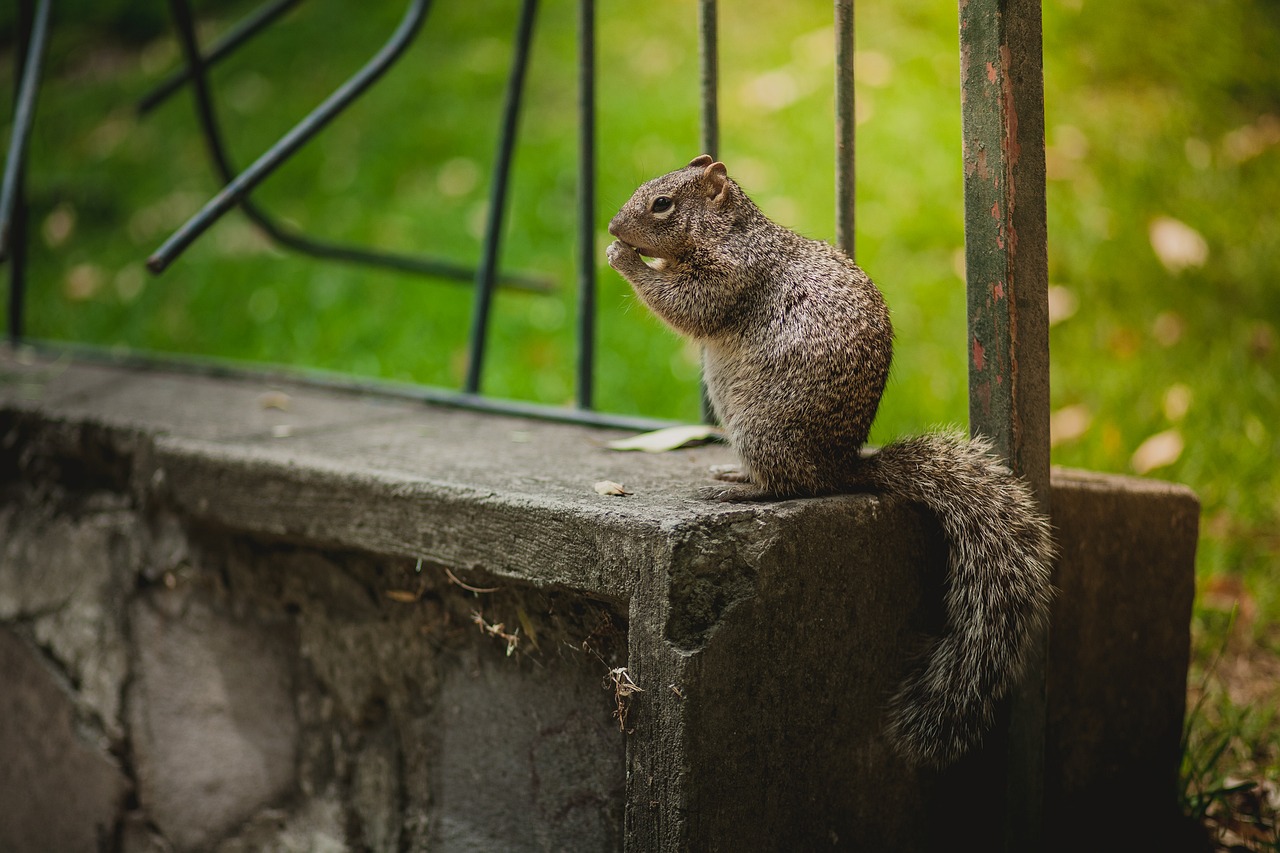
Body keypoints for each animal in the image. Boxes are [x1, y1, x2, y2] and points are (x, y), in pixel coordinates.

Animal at [604, 153, 1054, 763]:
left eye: (661, 204)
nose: (611, 228)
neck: (730, 231)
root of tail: (842, 465)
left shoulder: (732, 276)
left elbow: (688, 306)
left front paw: (625, 258)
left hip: (764, 430)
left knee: (792, 486)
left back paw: (739, 488)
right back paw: (730, 470)